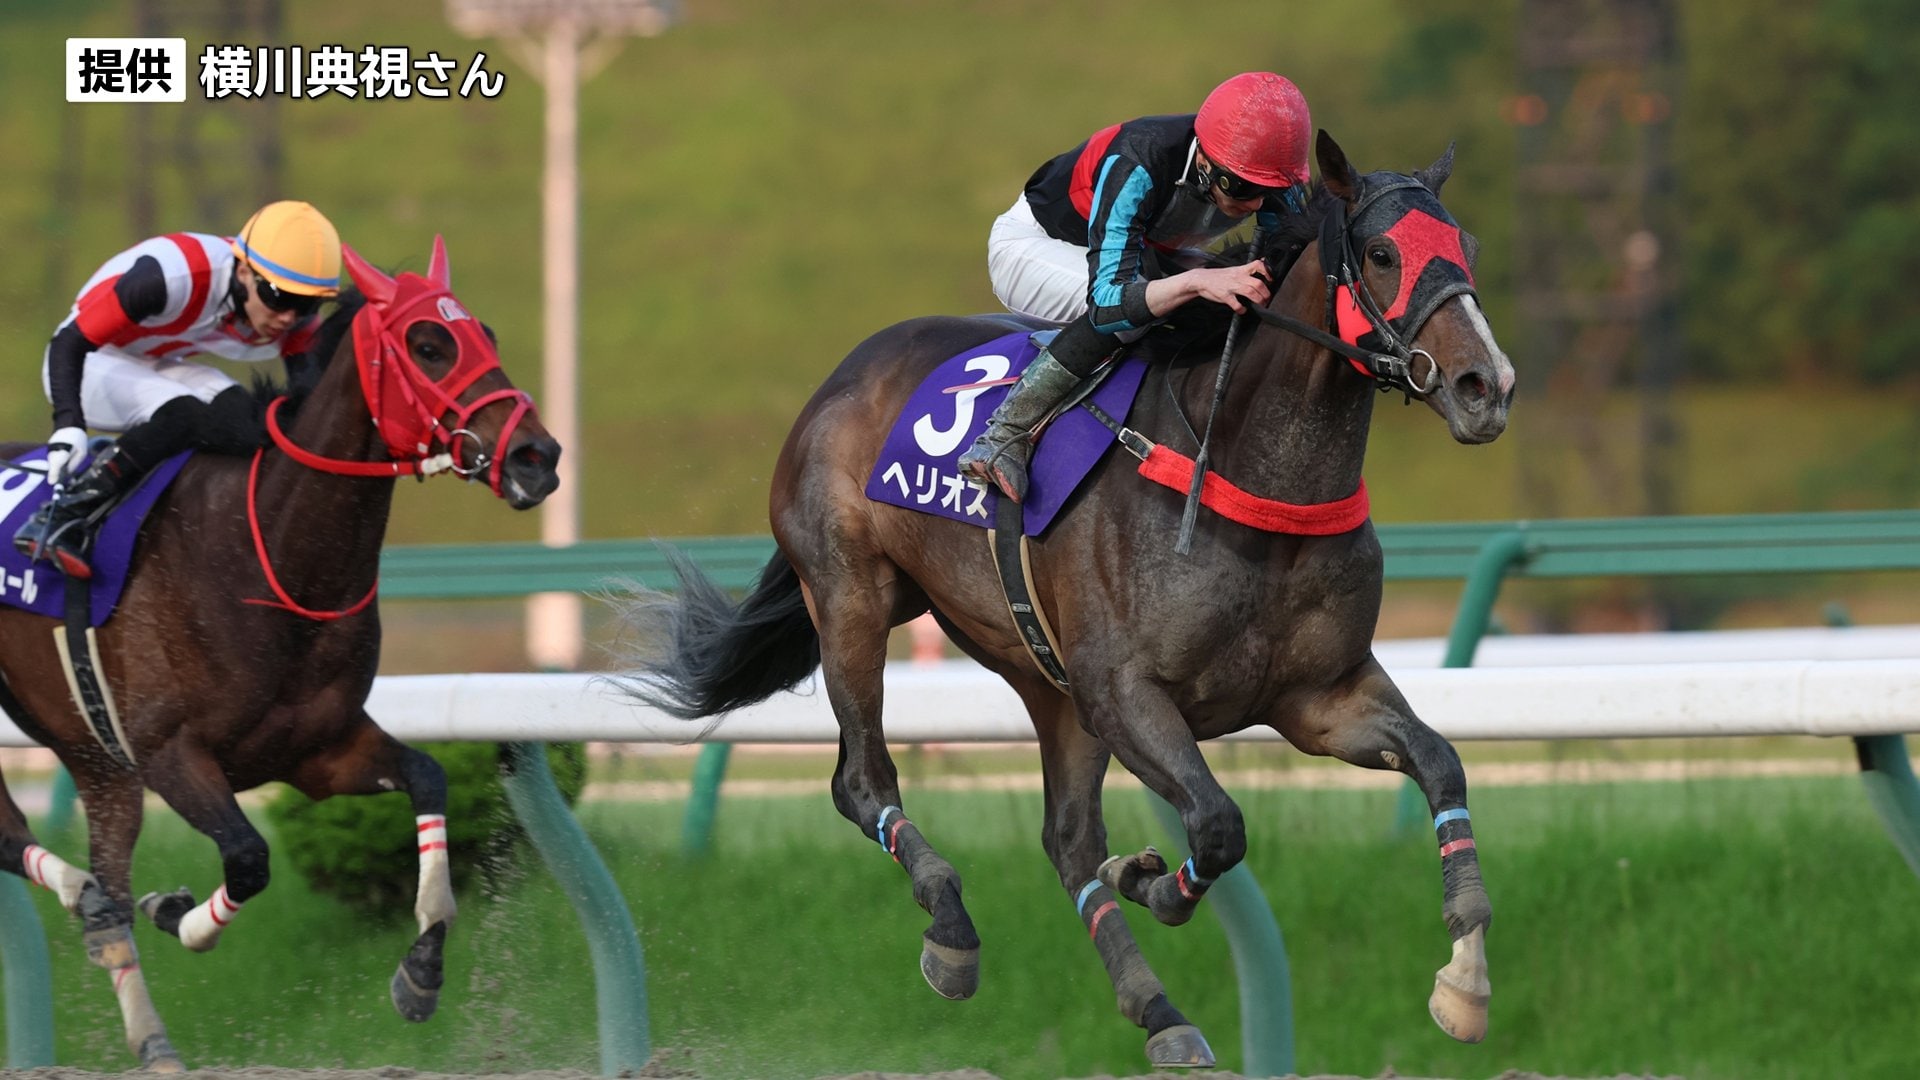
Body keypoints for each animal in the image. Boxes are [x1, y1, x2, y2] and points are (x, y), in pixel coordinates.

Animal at [0, 238, 560, 1071]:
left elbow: (428, 779)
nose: (538, 456)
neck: (271, 549)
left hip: (94, 759)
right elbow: (248, 858)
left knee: (91, 869)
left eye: (485, 334)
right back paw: (91, 902)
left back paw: (142, 1016)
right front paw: (181, 914)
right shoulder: (171, 753)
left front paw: (423, 970)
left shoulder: (315, 751)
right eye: (429, 345)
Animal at [611, 131, 1514, 1065]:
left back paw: (1161, 1011)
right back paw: (953, 929)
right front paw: (1158, 882)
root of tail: (844, 375)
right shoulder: (1126, 691)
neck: (1248, 474)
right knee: (863, 780)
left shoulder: (1318, 697)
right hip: (855, 598)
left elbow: (1441, 762)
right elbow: (1219, 824)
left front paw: (1465, 982)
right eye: (1381, 254)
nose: (1486, 386)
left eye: (1469, 249)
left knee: (1070, 840)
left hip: (1046, 677)